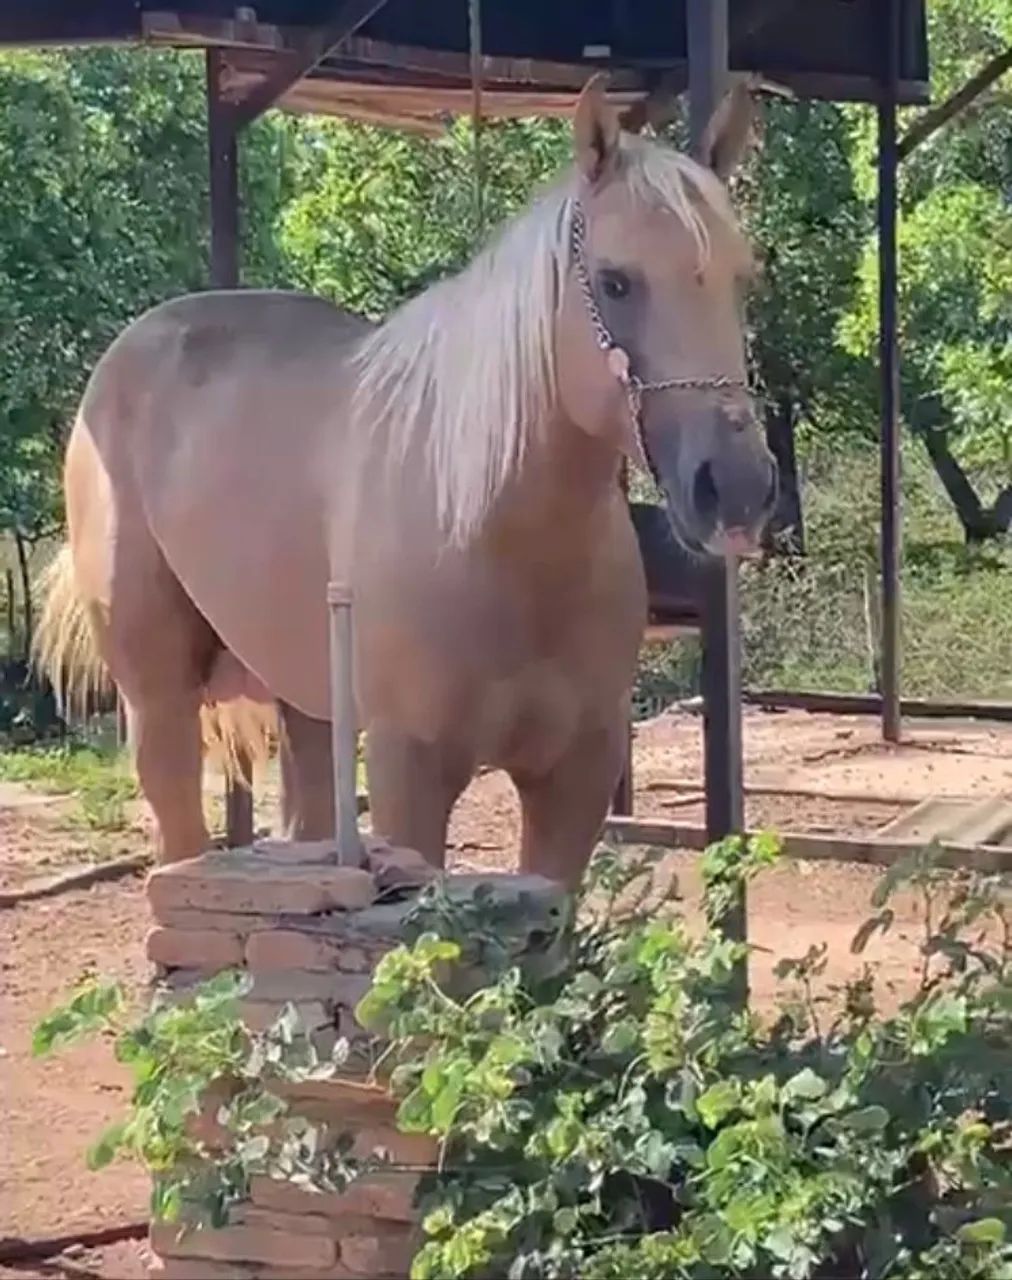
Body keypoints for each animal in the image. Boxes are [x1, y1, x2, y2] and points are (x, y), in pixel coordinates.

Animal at [36, 79, 775, 887]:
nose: (737, 486)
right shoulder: (409, 771)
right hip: (158, 699)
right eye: (616, 282)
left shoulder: (576, 775)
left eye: (743, 280)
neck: (494, 529)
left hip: (309, 708)